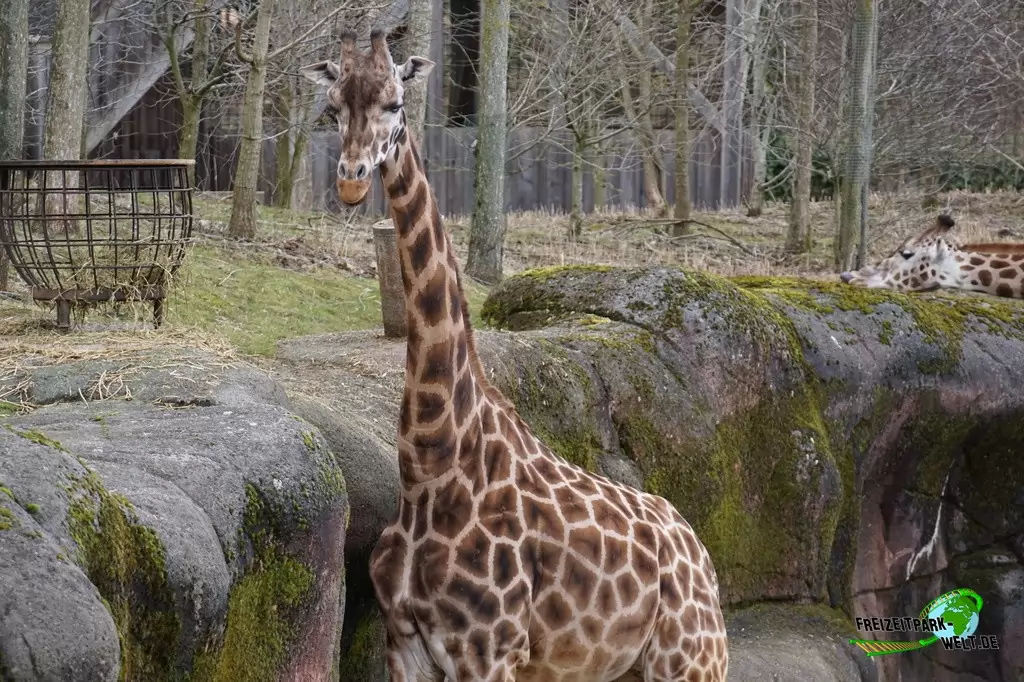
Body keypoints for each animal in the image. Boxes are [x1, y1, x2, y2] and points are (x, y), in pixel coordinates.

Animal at [301, 30, 728, 682]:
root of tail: (701, 554)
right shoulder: (406, 644)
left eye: (397, 103)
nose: (351, 179)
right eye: (332, 108)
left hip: (691, 661)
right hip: (624, 668)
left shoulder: (492, 651)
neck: (431, 469)